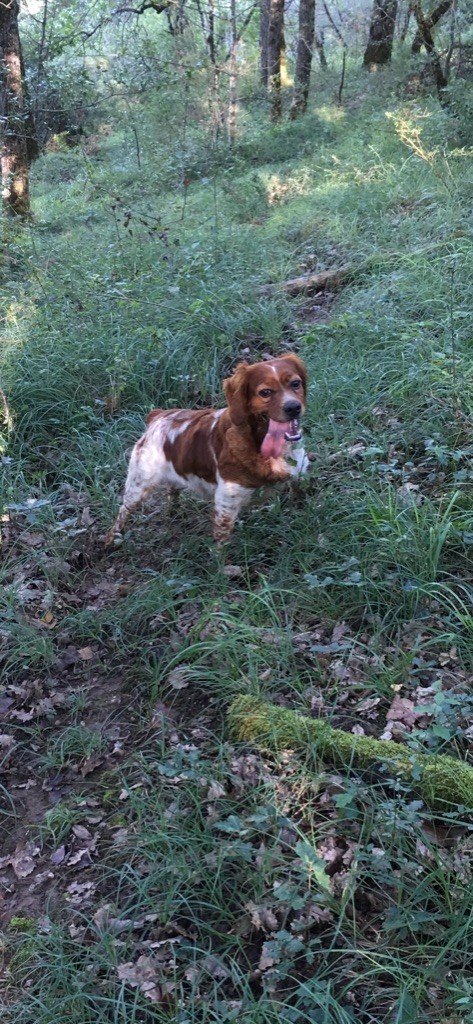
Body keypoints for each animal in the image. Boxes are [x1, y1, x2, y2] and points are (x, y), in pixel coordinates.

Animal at [104, 352, 309, 544]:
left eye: (295, 383)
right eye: (265, 392)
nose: (293, 407)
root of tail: (158, 416)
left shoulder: (297, 472)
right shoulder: (225, 504)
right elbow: (221, 547)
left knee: (172, 491)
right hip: (139, 485)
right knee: (123, 511)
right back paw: (111, 540)